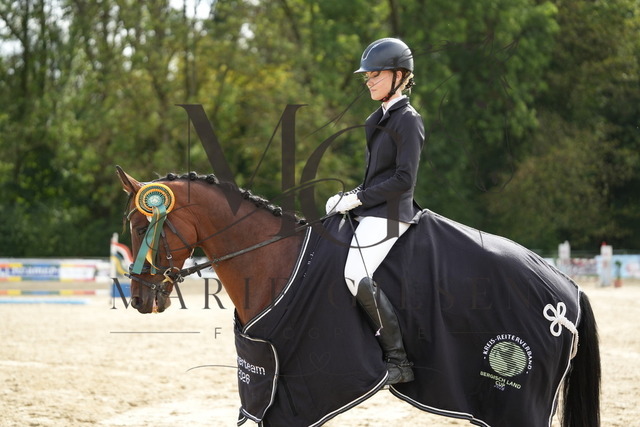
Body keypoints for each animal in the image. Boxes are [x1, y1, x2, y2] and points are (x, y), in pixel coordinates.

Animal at [116, 166, 600, 427]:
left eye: (142, 226)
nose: (139, 299)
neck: (276, 259)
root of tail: (569, 294)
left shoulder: (296, 384)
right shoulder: (269, 383)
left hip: (515, 401)